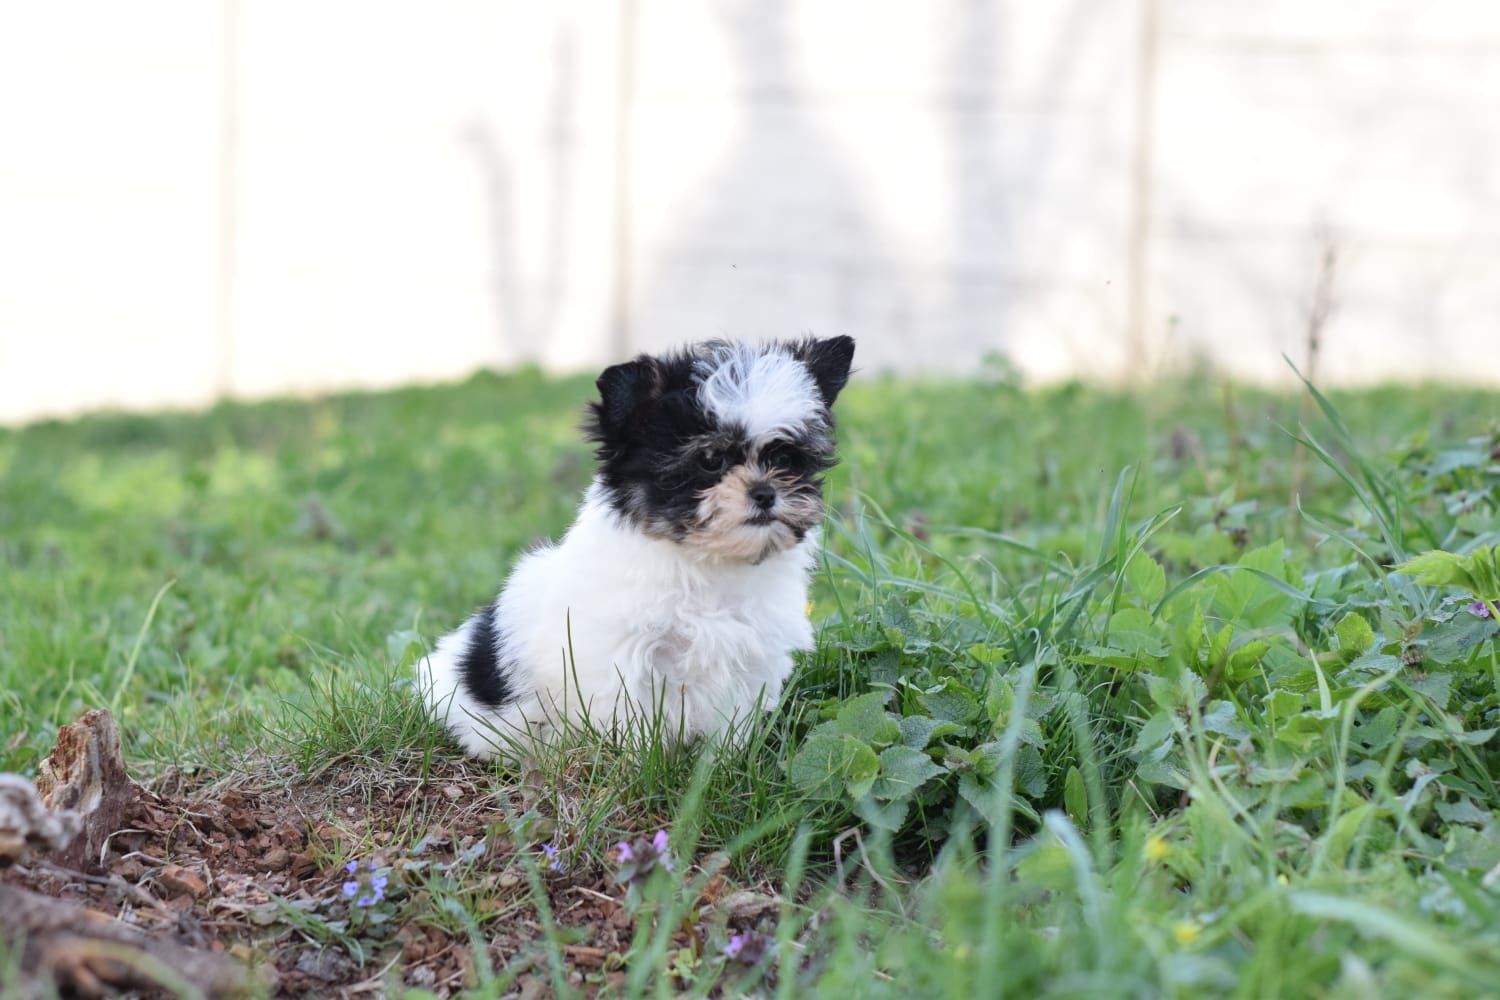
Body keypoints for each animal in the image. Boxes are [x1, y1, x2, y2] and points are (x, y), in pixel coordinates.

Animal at [423, 335, 858, 758]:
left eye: (784, 457)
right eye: (710, 459)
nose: (765, 493)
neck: (707, 561)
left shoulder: (752, 654)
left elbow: (733, 722)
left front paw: (724, 764)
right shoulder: (619, 654)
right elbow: (630, 718)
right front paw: (639, 764)